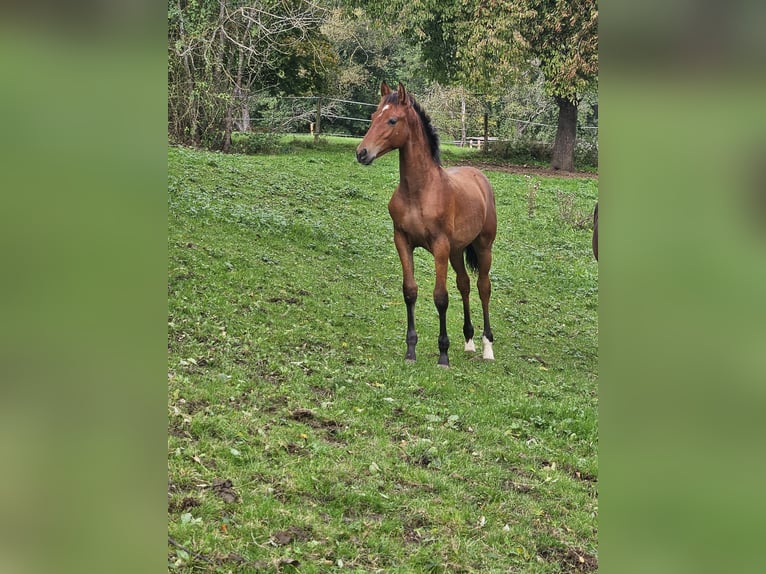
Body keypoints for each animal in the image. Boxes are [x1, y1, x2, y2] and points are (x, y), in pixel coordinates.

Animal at [356, 81, 498, 368]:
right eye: (373, 116)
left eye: (392, 120)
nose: (362, 153)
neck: (419, 191)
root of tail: (479, 176)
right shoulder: (402, 241)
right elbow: (410, 291)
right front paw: (411, 351)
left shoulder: (440, 246)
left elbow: (440, 297)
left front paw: (443, 355)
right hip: (457, 251)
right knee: (465, 285)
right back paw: (468, 341)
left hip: (483, 247)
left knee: (483, 287)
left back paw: (487, 347)